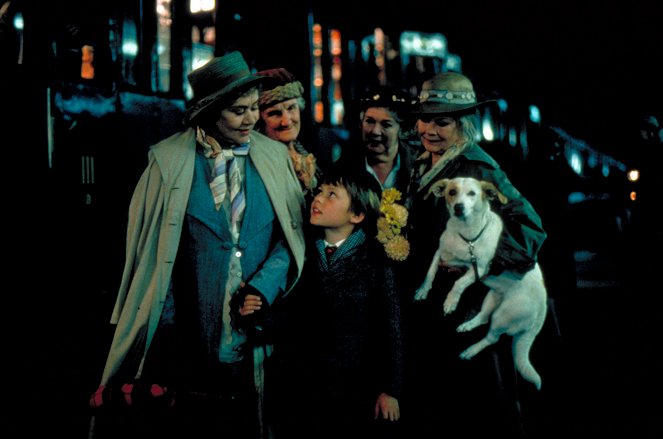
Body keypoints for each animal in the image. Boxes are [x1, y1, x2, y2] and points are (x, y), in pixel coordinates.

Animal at [416, 177, 548, 390]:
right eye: (451, 192)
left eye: (472, 193)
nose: (459, 207)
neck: (467, 236)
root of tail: (543, 307)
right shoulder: (442, 254)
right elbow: (430, 272)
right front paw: (422, 291)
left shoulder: (480, 268)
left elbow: (459, 283)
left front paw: (450, 302)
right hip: (492, 298)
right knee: (484, 318)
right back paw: (467, 326)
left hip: (504, 315)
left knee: (492, 337)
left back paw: (470, 350)